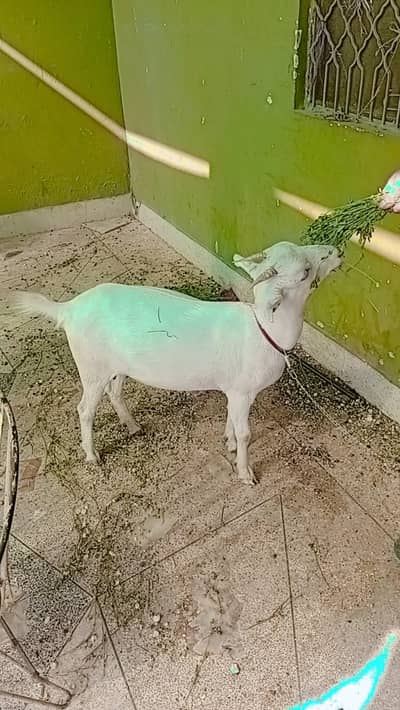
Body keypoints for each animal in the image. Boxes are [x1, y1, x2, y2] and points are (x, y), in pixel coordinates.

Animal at [12, 241, 341, 485]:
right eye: (305, 272)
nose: (337, 251)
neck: (263, 329)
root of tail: (67, 308)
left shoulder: (233, 390)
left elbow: (231, 419)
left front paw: (228, 441)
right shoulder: (242, 391)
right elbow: (246, 433)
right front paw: (246, 473)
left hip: (116, 366)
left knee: (114, 392)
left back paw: (133, 426)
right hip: (91, 367)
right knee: (84, 409)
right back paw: (92, 456)